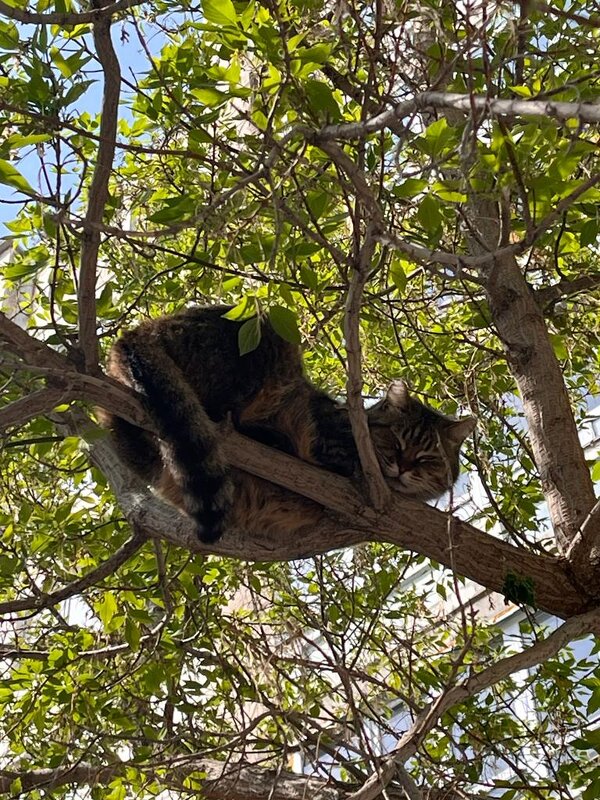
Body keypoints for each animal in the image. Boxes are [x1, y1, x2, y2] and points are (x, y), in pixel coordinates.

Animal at [101, 306, 476, 544]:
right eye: (396, 442)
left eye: (427, 458)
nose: (404, 467)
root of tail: (139, 330)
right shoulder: (327, 436)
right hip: (266, 344)